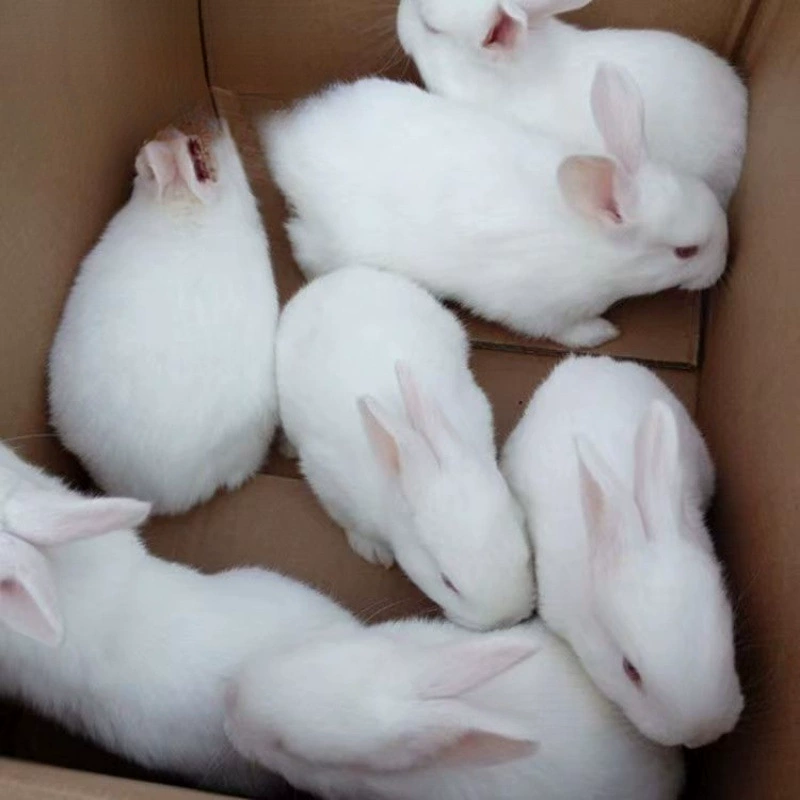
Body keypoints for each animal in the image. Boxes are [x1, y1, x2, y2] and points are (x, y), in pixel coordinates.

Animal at [262, 68, 728, 350]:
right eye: (685, 252)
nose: (722, 266)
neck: (595, 242)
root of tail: (288, 145)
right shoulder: (543, 310)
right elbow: (566, 330)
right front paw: (601, 333)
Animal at [276, 267, 535, 630]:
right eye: (447, 582)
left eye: (525, 553)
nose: (508, 619)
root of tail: (343, 275)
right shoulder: (328, 482)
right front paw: (373, 550)